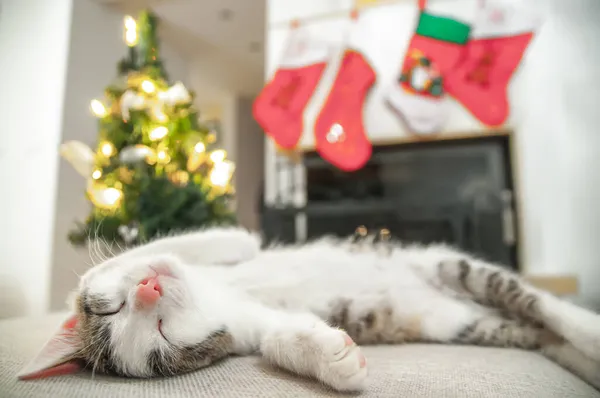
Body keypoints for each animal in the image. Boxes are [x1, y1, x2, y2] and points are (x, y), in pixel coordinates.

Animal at [16, 227, 600, 392]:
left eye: (109, 310)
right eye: (157, 331)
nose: (150, 289)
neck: (219, 296)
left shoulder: (224, 247)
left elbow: (218, 237)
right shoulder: (246, 330)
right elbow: (280, 338)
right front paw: (335, 359)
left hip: (447, 265)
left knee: (540, 303)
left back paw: (588, 328)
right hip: (464, 323)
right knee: (536, 331)